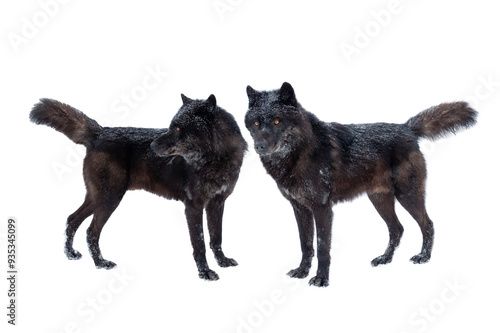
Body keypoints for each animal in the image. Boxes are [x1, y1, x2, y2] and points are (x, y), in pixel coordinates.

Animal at [29, 94, 246, 278]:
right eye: (171, 126)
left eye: (178, 129)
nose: (151, 146)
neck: (215, 159)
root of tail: (100, 132)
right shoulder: (193, 206)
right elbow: (199, 243)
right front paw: (205, 273)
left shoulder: (217, 203)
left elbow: (216, 237)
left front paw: (222, 261)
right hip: (109, 199)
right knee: (91, 231)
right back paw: (100, 263)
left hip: (97, 198)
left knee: (72, 219)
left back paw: (71, 254)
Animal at [244, 82, 478, 286]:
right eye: (256, 123)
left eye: (277, 122)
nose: (259, 146)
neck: (299, 153)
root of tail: (407, 129)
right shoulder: (300, 208)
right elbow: (305, 244)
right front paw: (302, 272)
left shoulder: (322, 208)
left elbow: (322, 247)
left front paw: (321, 279)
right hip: (380, 200)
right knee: (397, 229)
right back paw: (385, 259)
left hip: (407, 196)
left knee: (427, 224)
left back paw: (423, 257)